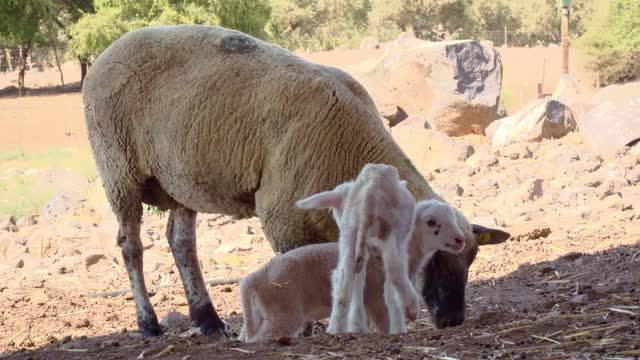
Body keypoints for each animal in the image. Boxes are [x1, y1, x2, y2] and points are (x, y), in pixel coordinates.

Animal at [239, 200, 464, 344]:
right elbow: (385, 324)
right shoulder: (376, 297)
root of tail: (254, 278)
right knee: (261, 338)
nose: (459, 240)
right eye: (431, 221)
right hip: (284, 309)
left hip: (260, 313)